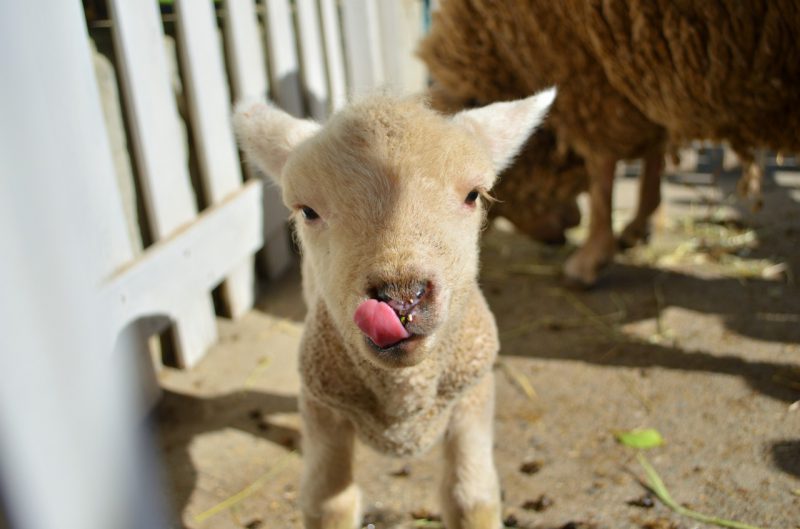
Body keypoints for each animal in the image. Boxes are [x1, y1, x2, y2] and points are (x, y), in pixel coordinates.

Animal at [231, 91, 556, 528]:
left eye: (473, 195)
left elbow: (472, 498)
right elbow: (328, 503)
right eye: (308, 211)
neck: (403, 400)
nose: (402, 298)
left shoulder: (473, 393)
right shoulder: (323, 408)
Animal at [418, 0, 800, 284]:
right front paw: (638, 225)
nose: (571, 222)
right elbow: (653, 150)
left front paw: (591, 256)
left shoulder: (588, 69)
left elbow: (603, 170)